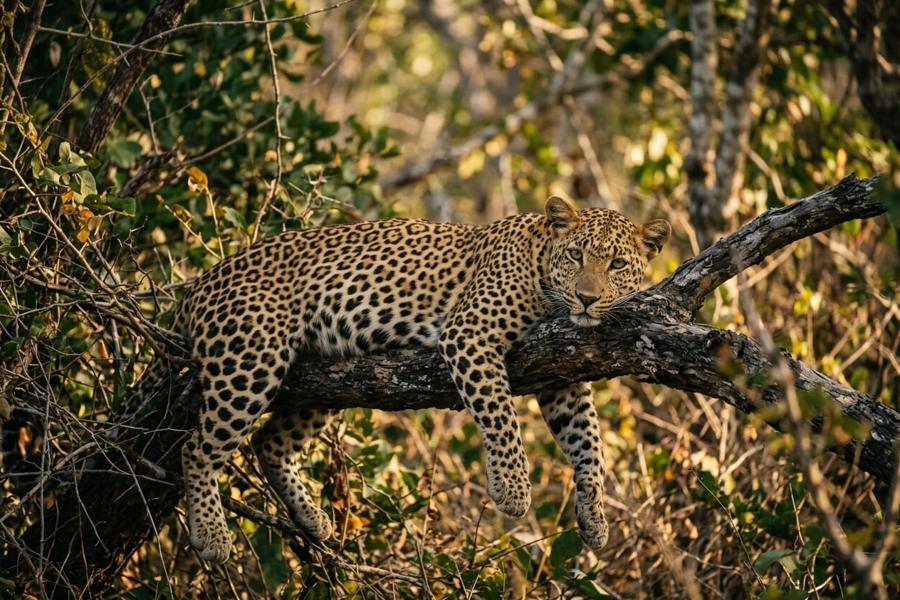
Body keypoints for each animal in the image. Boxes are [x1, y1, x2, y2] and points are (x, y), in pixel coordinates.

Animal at [153, 196, 670, 562]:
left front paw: (595, 518)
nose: (586, 298)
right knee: (196, 448)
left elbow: (589, 444)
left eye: (617, 265)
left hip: (322, 383)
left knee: (270, 444)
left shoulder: (560, 374)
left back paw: (313, 519)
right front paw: (511, 489)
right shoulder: (469, 333)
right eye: (577, 255)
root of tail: (198, 284)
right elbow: (501, 415)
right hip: (251, 360)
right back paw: (212, 536)